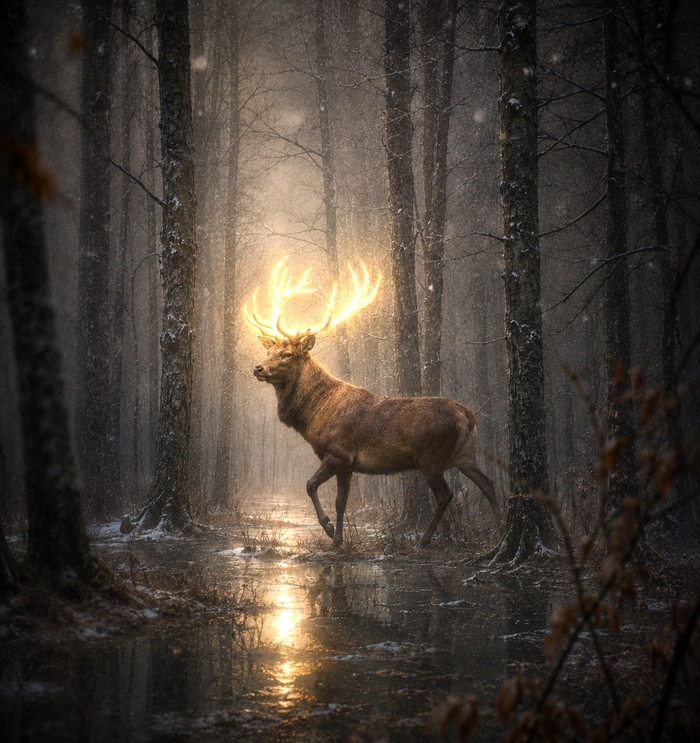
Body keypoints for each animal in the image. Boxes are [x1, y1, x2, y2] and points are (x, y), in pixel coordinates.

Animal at [245, 258, 503, 549]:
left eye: (287, 354)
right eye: (269, 351)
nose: (258, 368)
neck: (314, 414)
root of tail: (468, 414)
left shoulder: (338, 452)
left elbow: (310, 485)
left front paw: (327, 529)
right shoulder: (347, 464)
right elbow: (341, 502)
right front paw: (337, 542)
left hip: (430, 457)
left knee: (445, 495)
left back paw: (424, 540)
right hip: (465, 455)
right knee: (488, 482)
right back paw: (501, 530)